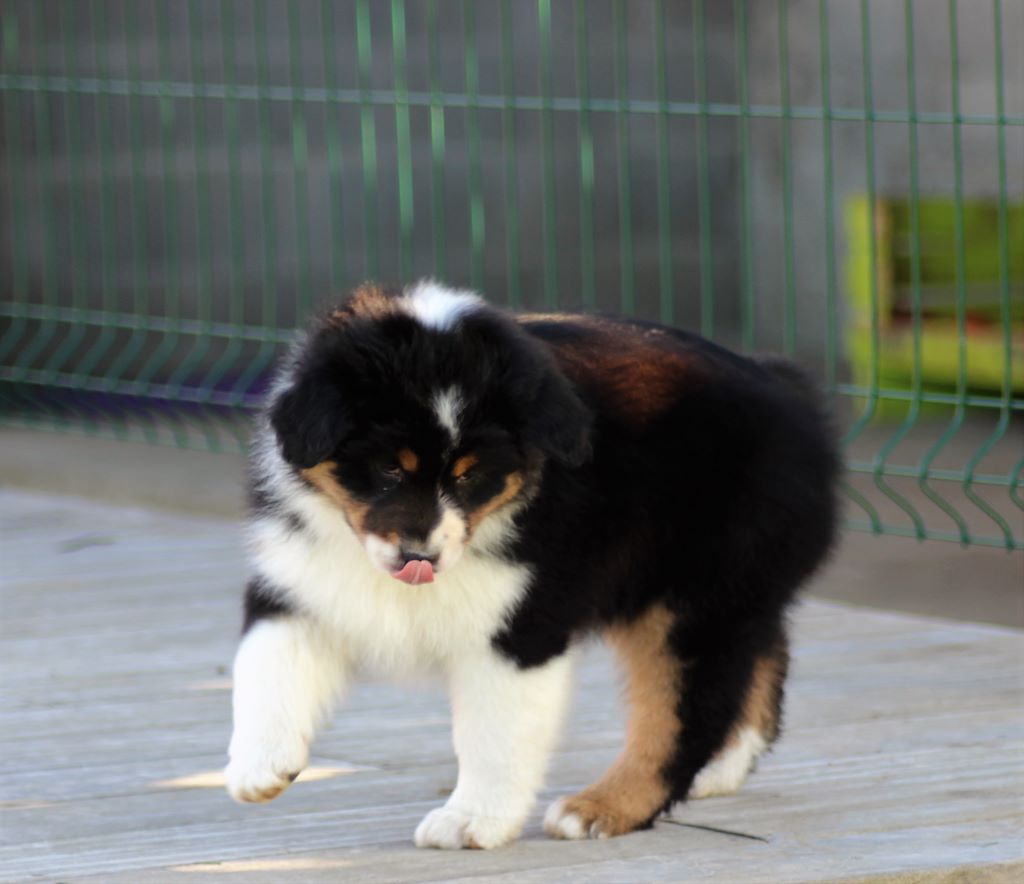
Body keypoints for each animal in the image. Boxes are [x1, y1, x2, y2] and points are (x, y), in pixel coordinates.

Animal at [226, 280, 839, 849]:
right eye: (388, 468)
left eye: (471, 474)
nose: (419, 557)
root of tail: (794, 396)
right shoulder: (301, 578)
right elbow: (263, 663)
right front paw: (258, 766)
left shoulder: (520, 624)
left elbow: (494, 733)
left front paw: (471, 821)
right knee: (763, 652)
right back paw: (722, 768)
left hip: (690, 600)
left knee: (684, 714)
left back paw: (603, 807)